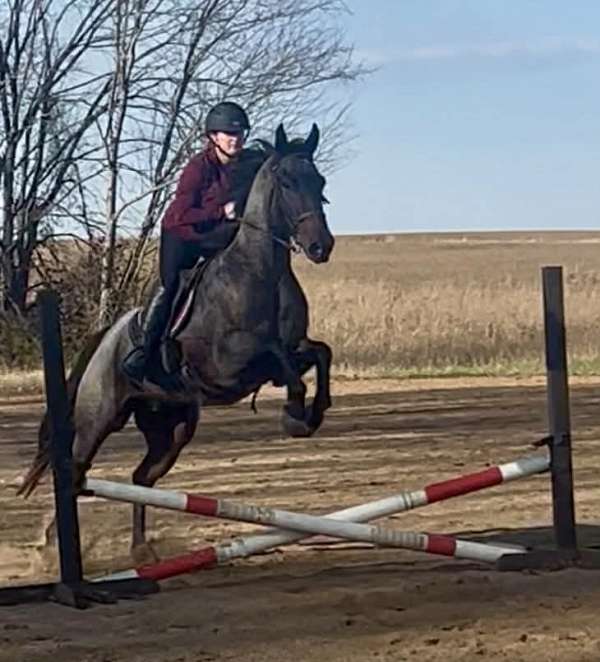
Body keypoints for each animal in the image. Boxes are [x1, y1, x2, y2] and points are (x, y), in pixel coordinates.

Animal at [18, 123, 335, 561]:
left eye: (320, 182)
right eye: (287, 182)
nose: (322, 246)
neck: (260, 273)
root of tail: (105, 338)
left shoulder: (293, 348)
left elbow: (319, 354)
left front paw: (314, 414)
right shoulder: (228, 364)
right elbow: (279, 358)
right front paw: (293, 414)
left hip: (171, 428)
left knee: (140, 478)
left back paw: (140, 551)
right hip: (98, 418)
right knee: (77, 466)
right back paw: (52, 545)